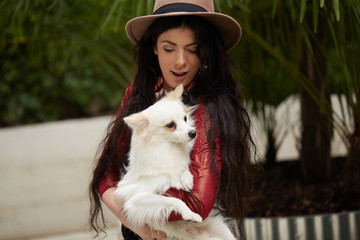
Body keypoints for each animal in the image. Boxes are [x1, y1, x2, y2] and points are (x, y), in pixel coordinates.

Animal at [114, 84, 235, 240]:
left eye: (185, 118)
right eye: (171, 125)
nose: (193, 133)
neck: (170, 147)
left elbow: (182, 167)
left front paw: (186, 177)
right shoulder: (136, 199)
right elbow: (174, 200)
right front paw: (190, 214)